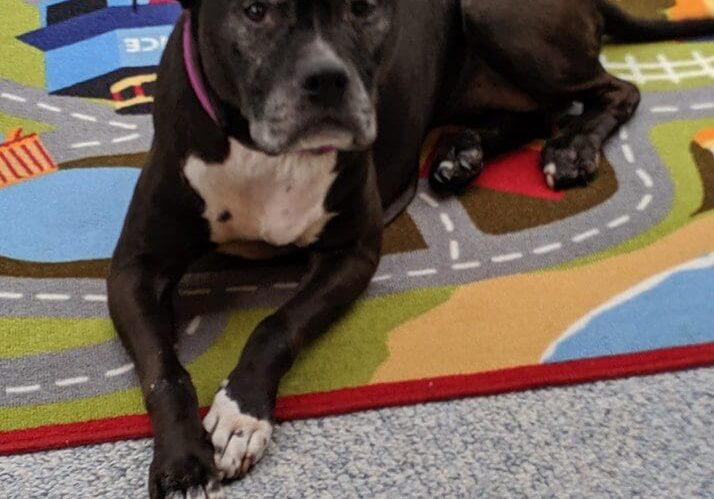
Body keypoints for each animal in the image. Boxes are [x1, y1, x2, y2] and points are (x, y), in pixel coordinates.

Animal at [107, 1, 712, 498]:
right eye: (255, 10)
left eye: (364, 6)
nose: (327, 79)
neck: (259, 151)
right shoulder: (135, 269)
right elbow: (164, 368)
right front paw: (183, 460)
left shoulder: (352, 254)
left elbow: (276, 326)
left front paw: (241, 413)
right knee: (540, 111)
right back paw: (461, 152)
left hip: (501, 19)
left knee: (613, 90)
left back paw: (571, 150)